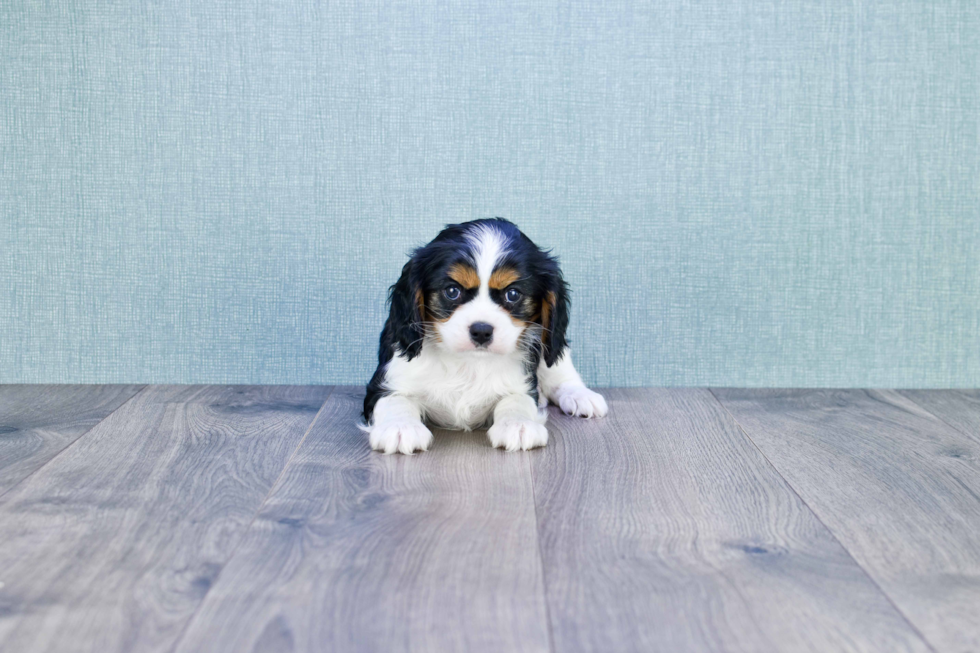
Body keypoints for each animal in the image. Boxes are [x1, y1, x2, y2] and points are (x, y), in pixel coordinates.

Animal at [362, 219, 604, 454]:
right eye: (452, 291)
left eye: (513, 294)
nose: (481, 330)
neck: (468, 362)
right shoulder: (386, 382)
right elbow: (395, 400)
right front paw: (400, 427)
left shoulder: (522, 384)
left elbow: (516, 400)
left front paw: (518, 424)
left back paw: (581, 396)